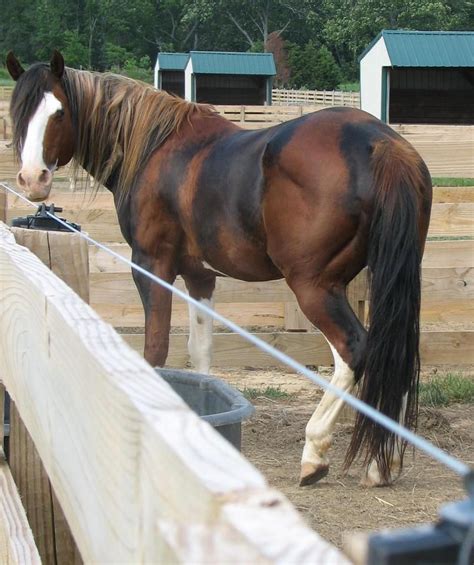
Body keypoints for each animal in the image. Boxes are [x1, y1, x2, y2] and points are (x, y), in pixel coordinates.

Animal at [6, 50, 434, 486]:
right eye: (18, 112)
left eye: (59, 112)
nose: (32, 179)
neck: (154, 149)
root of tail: (380, 144)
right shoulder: (200, 276)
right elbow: (200, 352)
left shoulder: (151, 265)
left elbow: (155, 349)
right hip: (389, 276)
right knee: (393, 349)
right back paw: (382, 464)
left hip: (315, 286)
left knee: (354, 349)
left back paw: (315, 454)